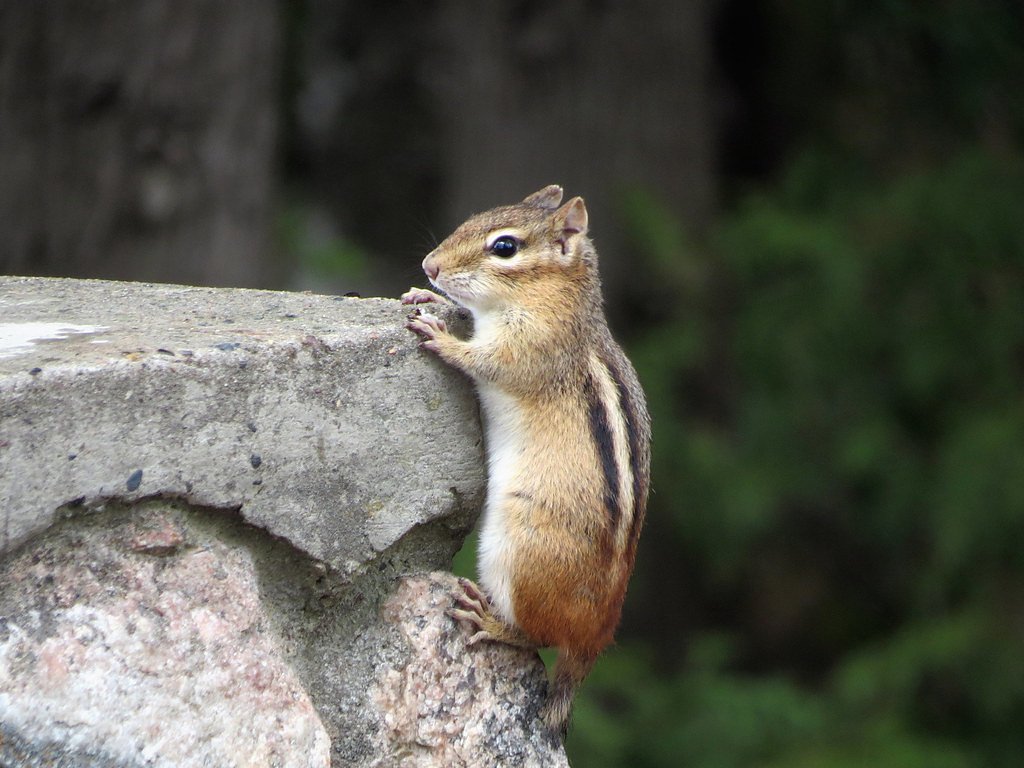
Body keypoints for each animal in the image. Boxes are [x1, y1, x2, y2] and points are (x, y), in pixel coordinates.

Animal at [401, 185, 651, 737]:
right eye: (474, 218)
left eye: (505, 247)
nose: (429, 266)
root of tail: (594, 642)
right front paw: (428, 298)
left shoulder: (529, 348)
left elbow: (486, 361)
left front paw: (441, 335)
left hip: (516, 554)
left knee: (537, 637)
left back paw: (492, 622)